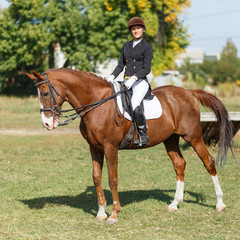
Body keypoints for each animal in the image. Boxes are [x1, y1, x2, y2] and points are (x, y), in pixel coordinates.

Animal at [25, 68, 232, 224]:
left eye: (45, 93)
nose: (47, 124)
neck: (97, 105)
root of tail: (188, 92)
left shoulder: (110, 148)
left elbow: (112, 179)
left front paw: (114, 214)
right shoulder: (95, 148)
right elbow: (97, 177)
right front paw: (101, 213)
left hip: (193, 137)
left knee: (209, 162)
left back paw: (220, 204)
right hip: (171, 139)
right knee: (179, 164)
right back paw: (174, 204)